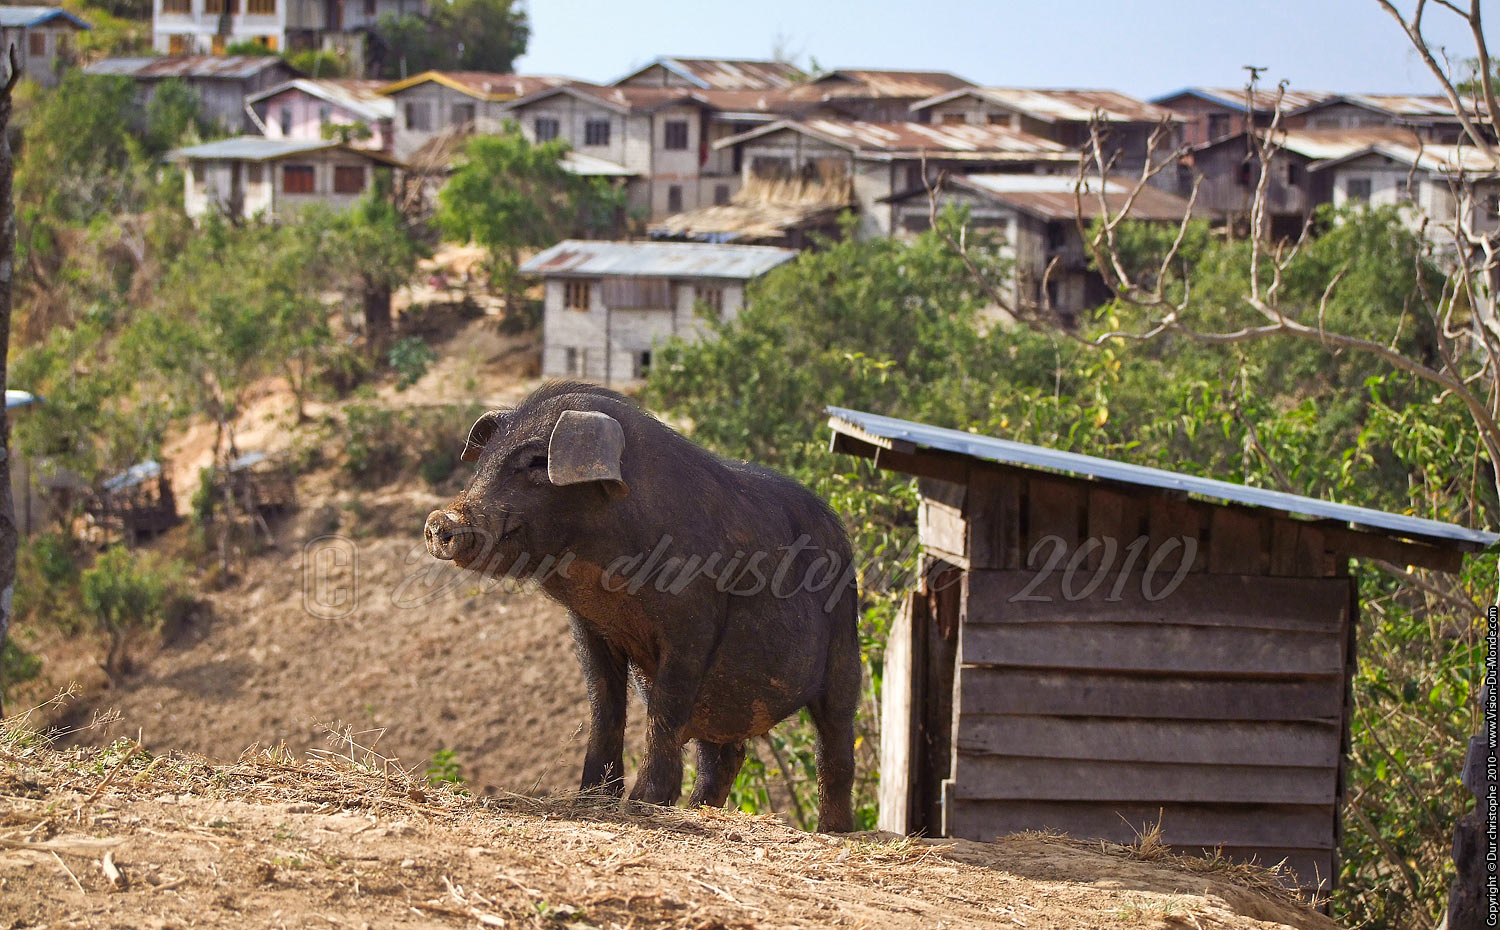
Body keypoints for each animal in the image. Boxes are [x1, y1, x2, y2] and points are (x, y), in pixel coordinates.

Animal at [423, 381, 859, 831]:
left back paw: (834, 830)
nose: (441, 521)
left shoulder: (694, 626)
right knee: (724, 755)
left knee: (835, 743)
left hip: (845, 643)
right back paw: (698, 810)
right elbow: (604, 705)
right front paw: (590, 799)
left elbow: (664, 712)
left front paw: (641, 804)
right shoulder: (589, 626)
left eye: (534, 462)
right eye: (485, 460)